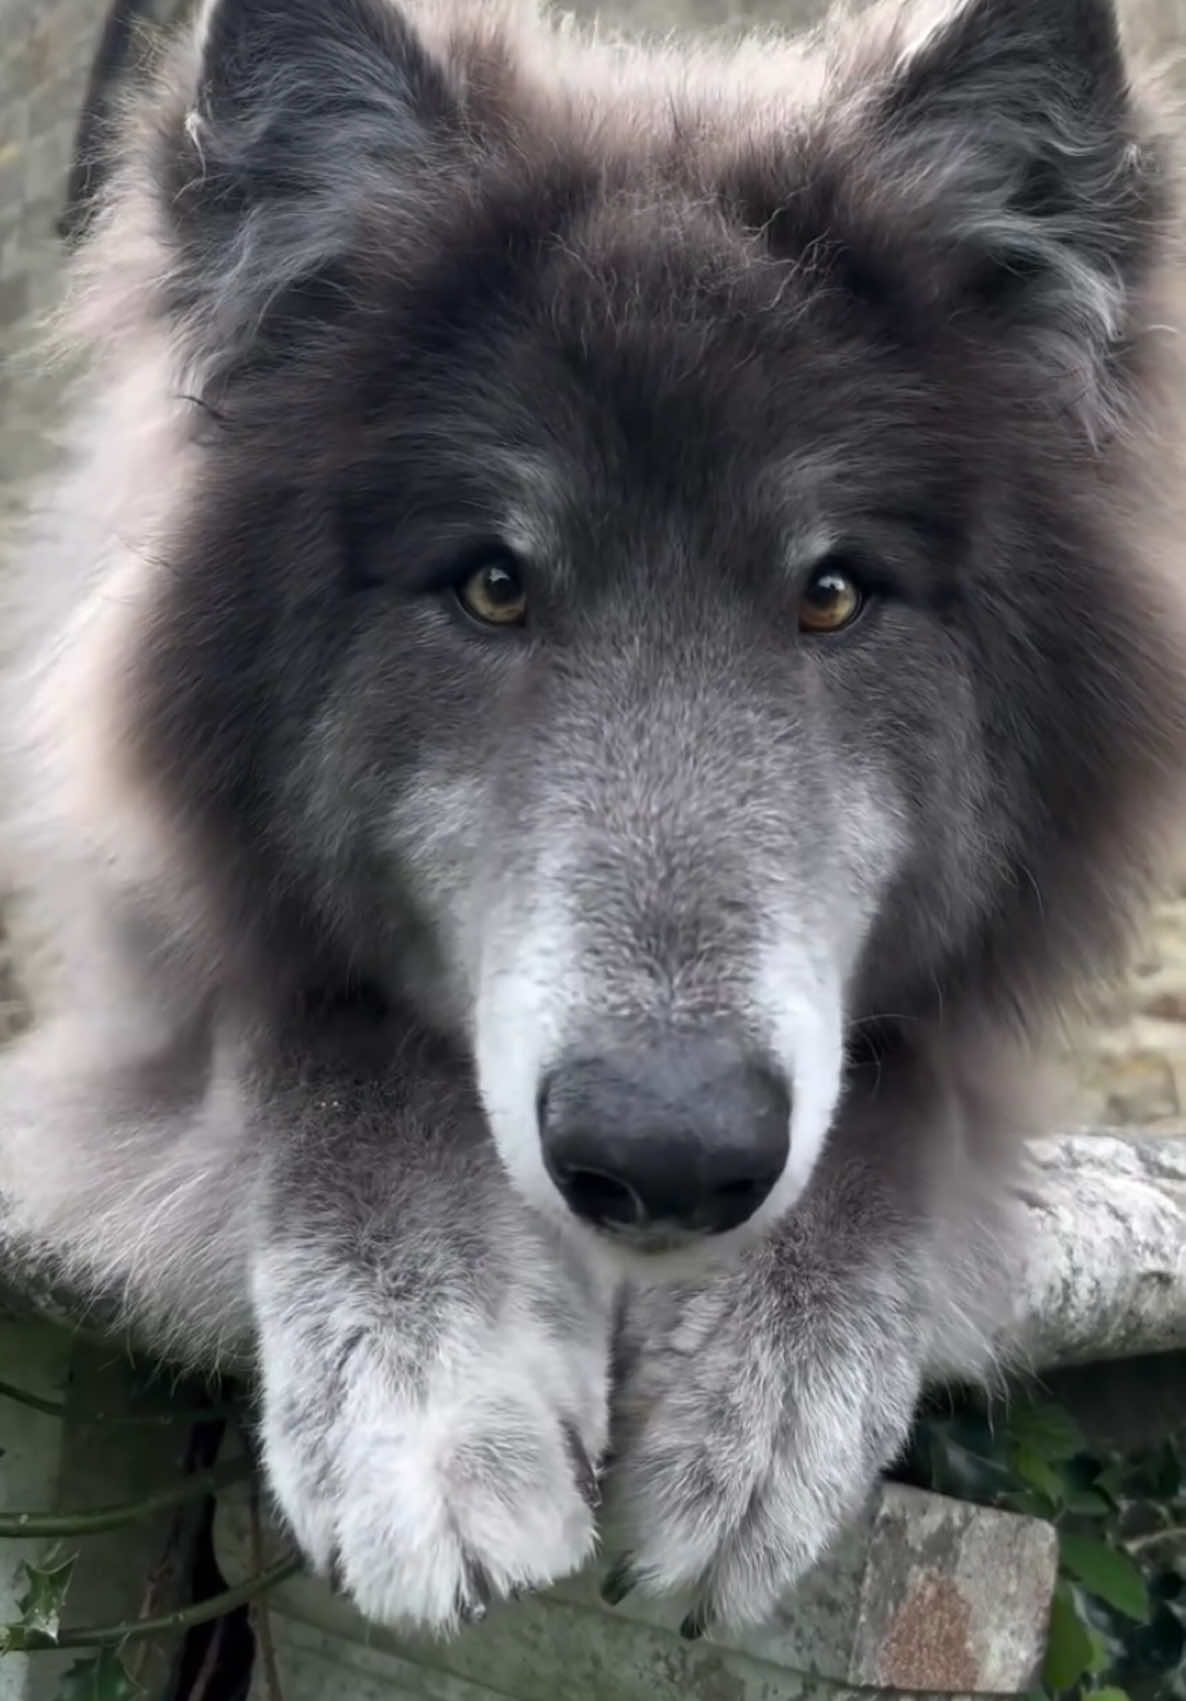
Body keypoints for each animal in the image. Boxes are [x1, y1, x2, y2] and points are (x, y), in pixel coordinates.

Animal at [0, 0, 1184, 1642]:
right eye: (493, 585)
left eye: (832, 592)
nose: (669, 1158)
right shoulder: (148, 1023)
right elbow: (331, 1048)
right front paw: (434, 1394)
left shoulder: (945, 1048)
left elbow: (896, 1092)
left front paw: (760, 1397)